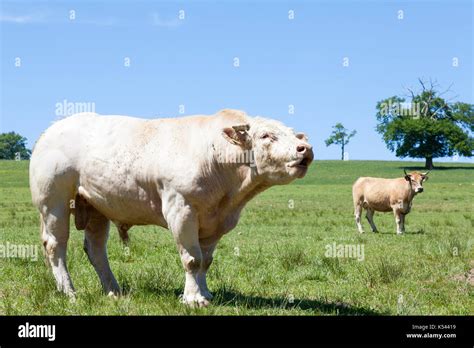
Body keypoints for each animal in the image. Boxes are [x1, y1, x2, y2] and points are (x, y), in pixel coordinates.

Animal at [28, 109, 312, 308]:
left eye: (293, 134)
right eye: (266, 135)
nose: (305, 148)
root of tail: (50, 131)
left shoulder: (215, 220)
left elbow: (206, 260)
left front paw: (205, 292)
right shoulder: (181, 209)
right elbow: (192, 259)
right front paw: (194, 299)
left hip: (97, 205)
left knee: (96, 249)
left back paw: (113, 291)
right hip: (54, 201)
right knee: (55, 246)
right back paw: (69, 291)